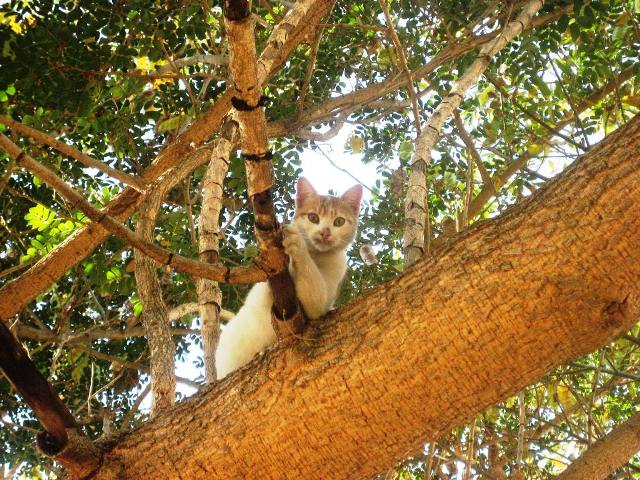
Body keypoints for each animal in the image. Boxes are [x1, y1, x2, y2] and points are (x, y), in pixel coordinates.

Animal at [215, 176, 362, 378]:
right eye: (313, 218)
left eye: (339, 221)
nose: (325, 232)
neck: (315, 256)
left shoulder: (322, 300)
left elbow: (315, 304)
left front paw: (296, 241)